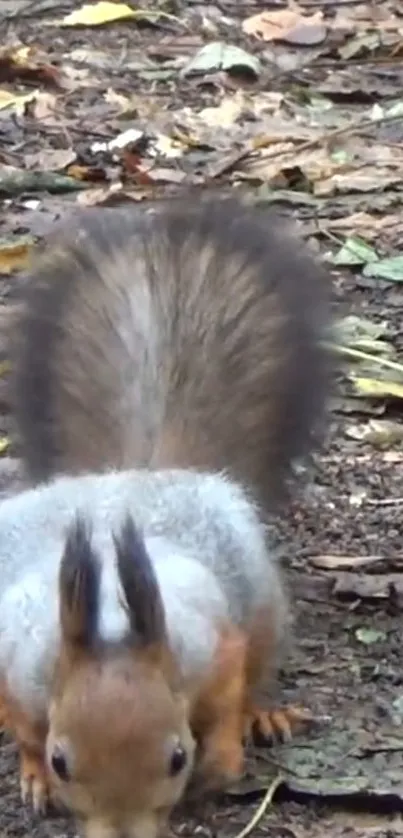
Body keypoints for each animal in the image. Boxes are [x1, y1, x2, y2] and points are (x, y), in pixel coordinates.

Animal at [0, 466, 304, 838]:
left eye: (178, 758)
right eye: (59, 763)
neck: (112, 626)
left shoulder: (211, 656)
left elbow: (225, 708)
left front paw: (217, 766)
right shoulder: (21, 677)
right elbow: (29, 737)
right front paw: (38, 779)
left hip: (264, 614)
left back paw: (264, 714)